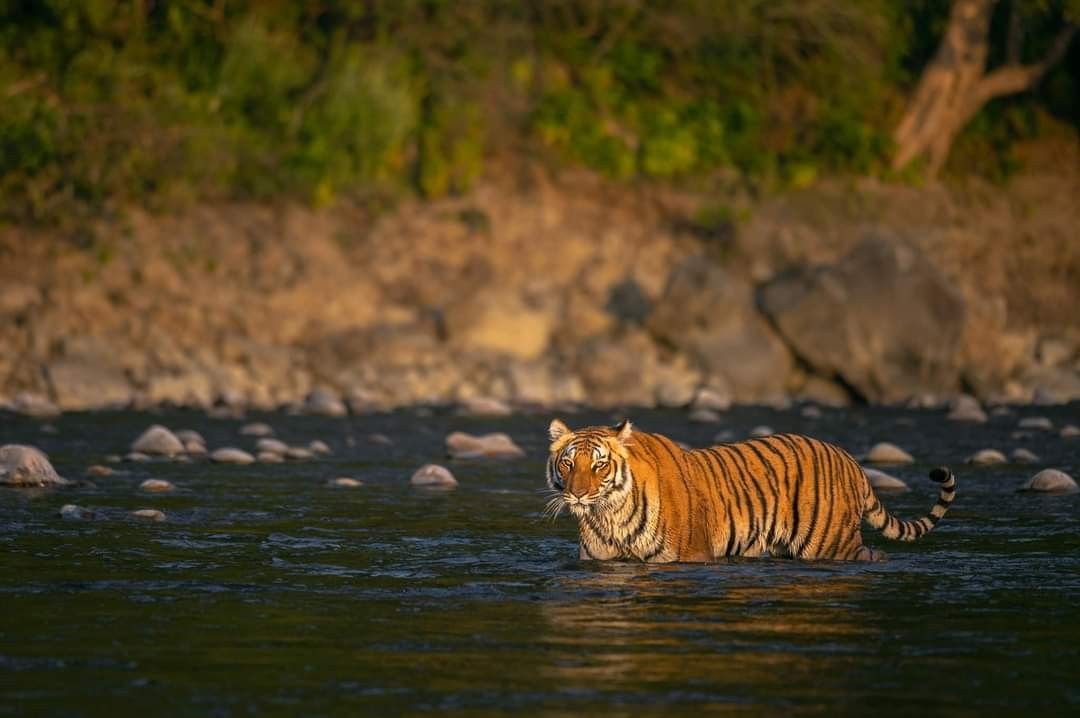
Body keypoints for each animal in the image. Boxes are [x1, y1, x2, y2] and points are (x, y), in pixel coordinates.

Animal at [544, 418, 956, 562]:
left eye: (599, 465)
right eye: (568, 464)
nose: (577, 494)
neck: (607, 515)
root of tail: (849, 459)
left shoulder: (691, 555)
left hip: (831, 544)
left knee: (873, 555)